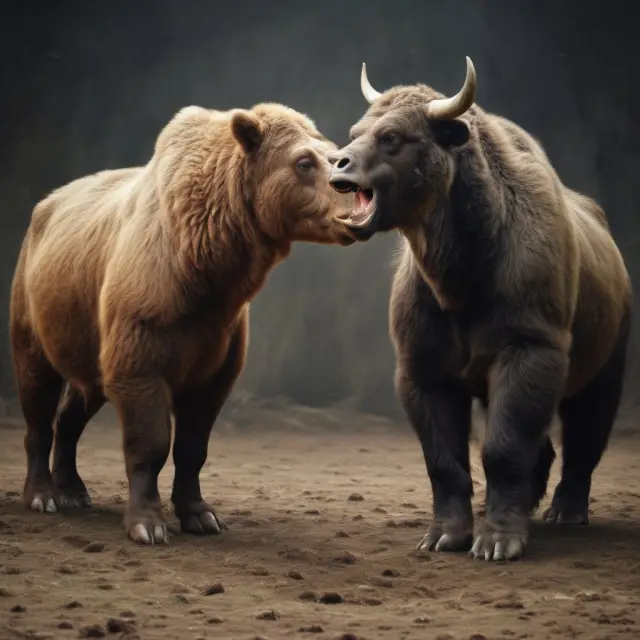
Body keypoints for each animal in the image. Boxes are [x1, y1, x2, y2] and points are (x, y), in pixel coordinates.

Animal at [328, 57, 632, 560]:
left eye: (393, 137)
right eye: (356, 132)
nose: (338, 163)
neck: (465, 266)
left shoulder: (530, 349)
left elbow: (504, 446)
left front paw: (499, 541)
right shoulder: (421, 367)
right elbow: (443, 457)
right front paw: (445, 535)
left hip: (609, 355)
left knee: (588, 424)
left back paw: (566, 513)